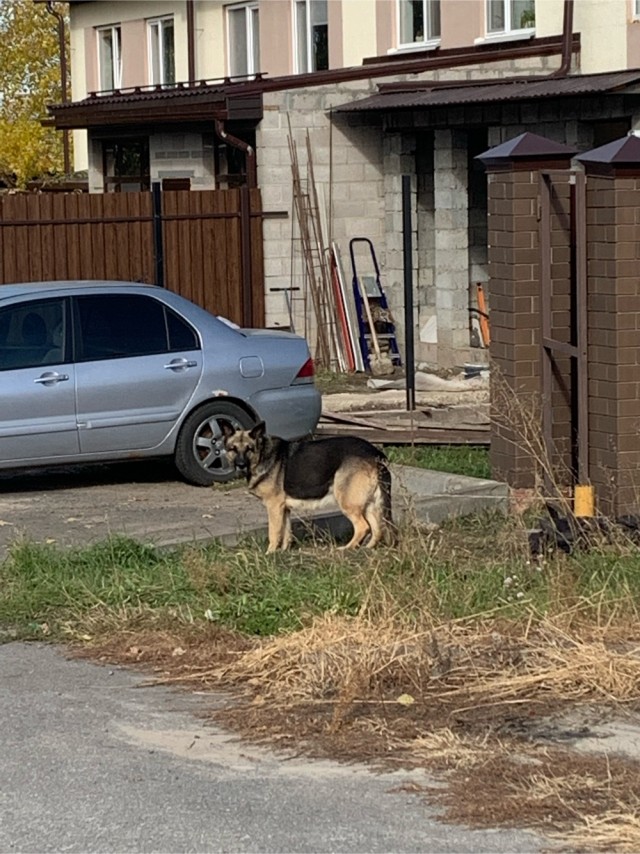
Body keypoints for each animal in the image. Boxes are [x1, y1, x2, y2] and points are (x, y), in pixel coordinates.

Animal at [224, 422, 396, 556]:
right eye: (233, 449)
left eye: (249, 449)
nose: (240, 465)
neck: (261, 454)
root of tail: (375, 453)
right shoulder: (283, 509)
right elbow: (286, 533)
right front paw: (283, 552)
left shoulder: (274, 507)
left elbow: (274, 533)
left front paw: (270, 553)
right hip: (368, 504)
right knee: (377, 529)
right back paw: (367, 548)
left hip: (348, 502)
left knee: (363, 527)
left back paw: (347, 548)